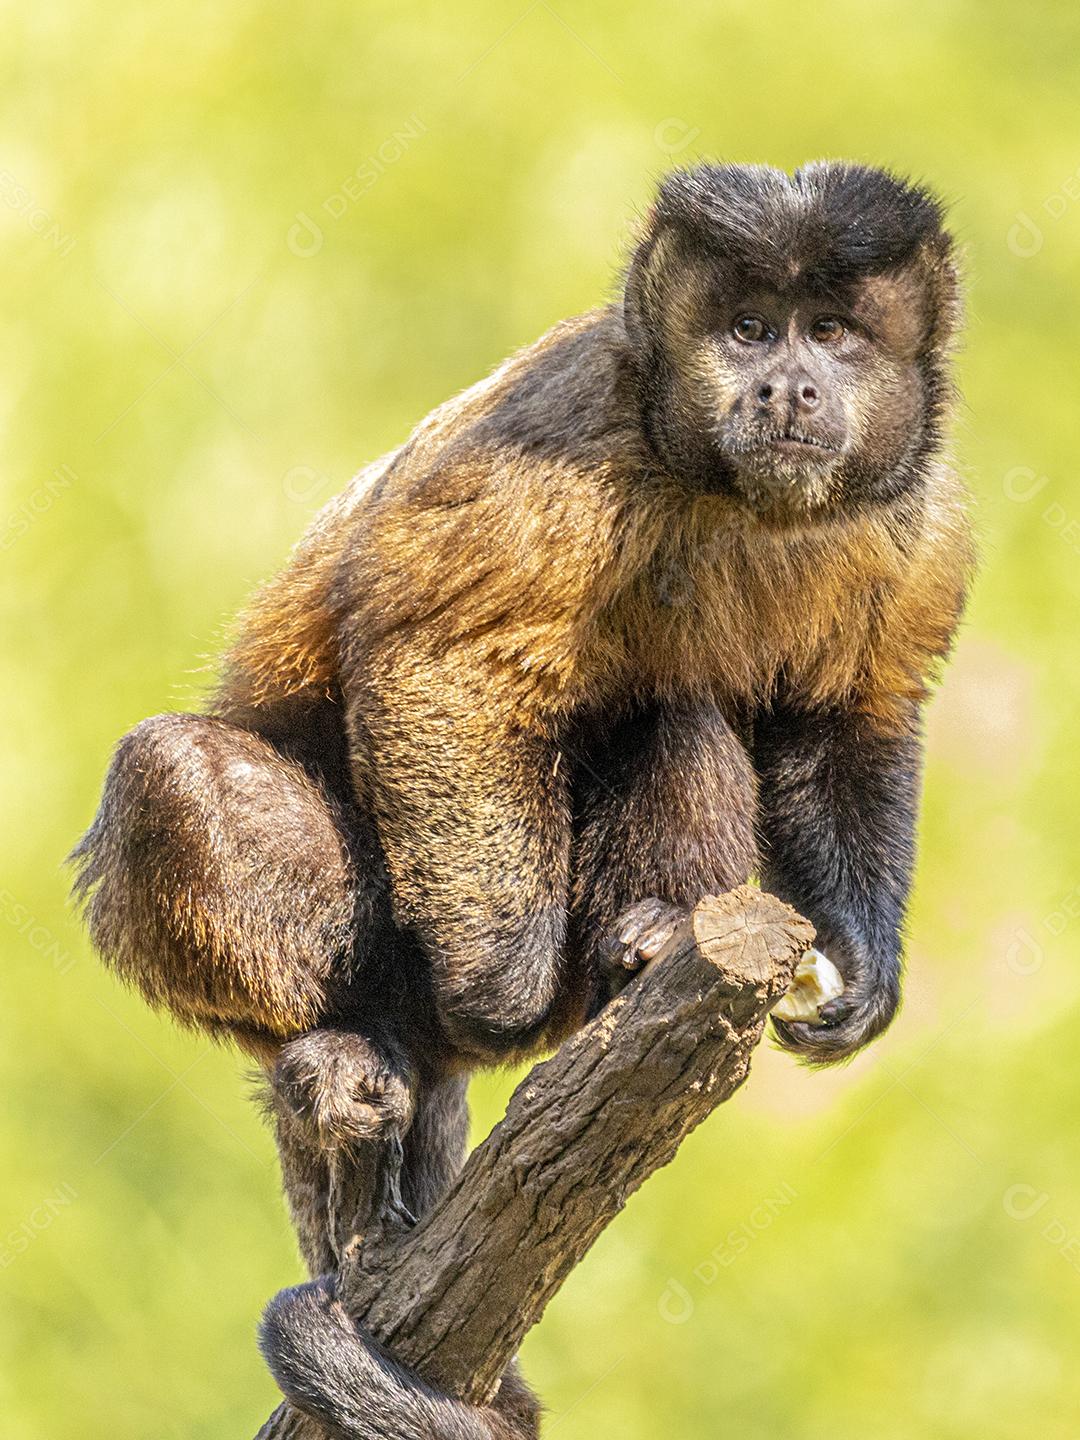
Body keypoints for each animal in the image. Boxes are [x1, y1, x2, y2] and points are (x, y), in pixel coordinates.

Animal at [71, 160, 974, 1438]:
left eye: (834, 334)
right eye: (750, 329)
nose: (788, 384)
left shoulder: (919, 517)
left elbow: (851, 719)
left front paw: (862, 968)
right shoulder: (560, 443)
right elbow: (437, 662)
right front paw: (500, 987)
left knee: (677, 708)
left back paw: (644, 938)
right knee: (170, 773)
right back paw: (351, 1046)